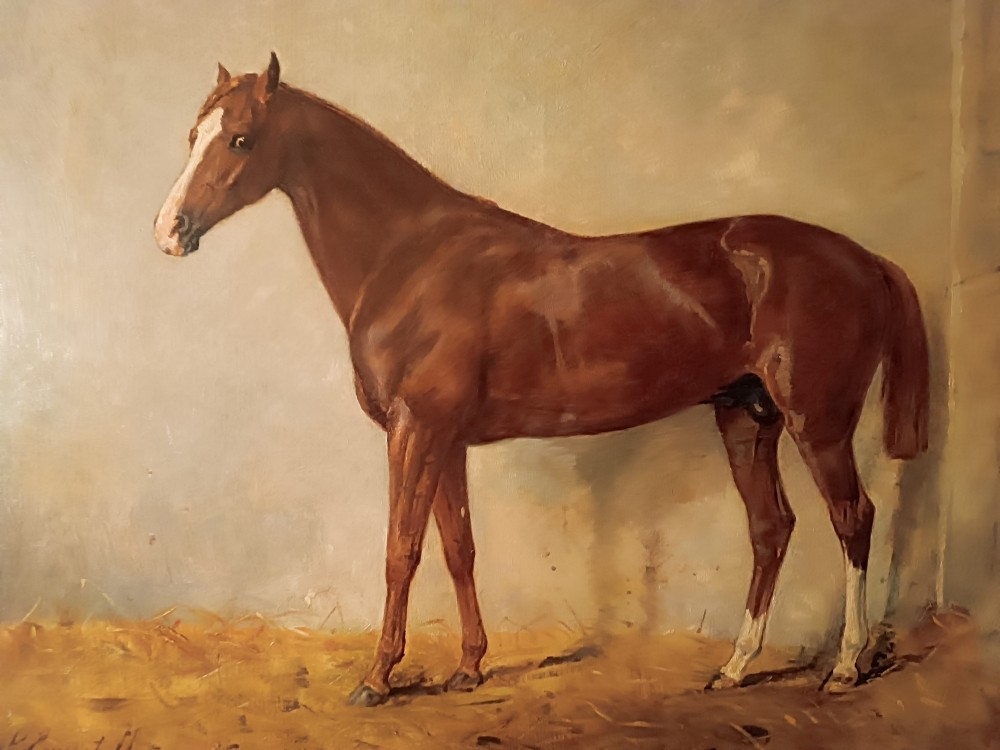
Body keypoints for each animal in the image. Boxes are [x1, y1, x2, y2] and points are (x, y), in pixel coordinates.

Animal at [154, 54, 929, 707]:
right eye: (193, 134)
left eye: (241, 139)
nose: (170, 229)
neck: (409, 256)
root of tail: (865, 259)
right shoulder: (446, 439)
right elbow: (459, 549)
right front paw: (469, 667)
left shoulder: (414, 430)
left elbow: (401, 552)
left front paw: (378, 678)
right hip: (747, 417)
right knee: (771, 529)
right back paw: (735, 668)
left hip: (816, 423)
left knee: (853, 517)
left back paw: (846, 666)